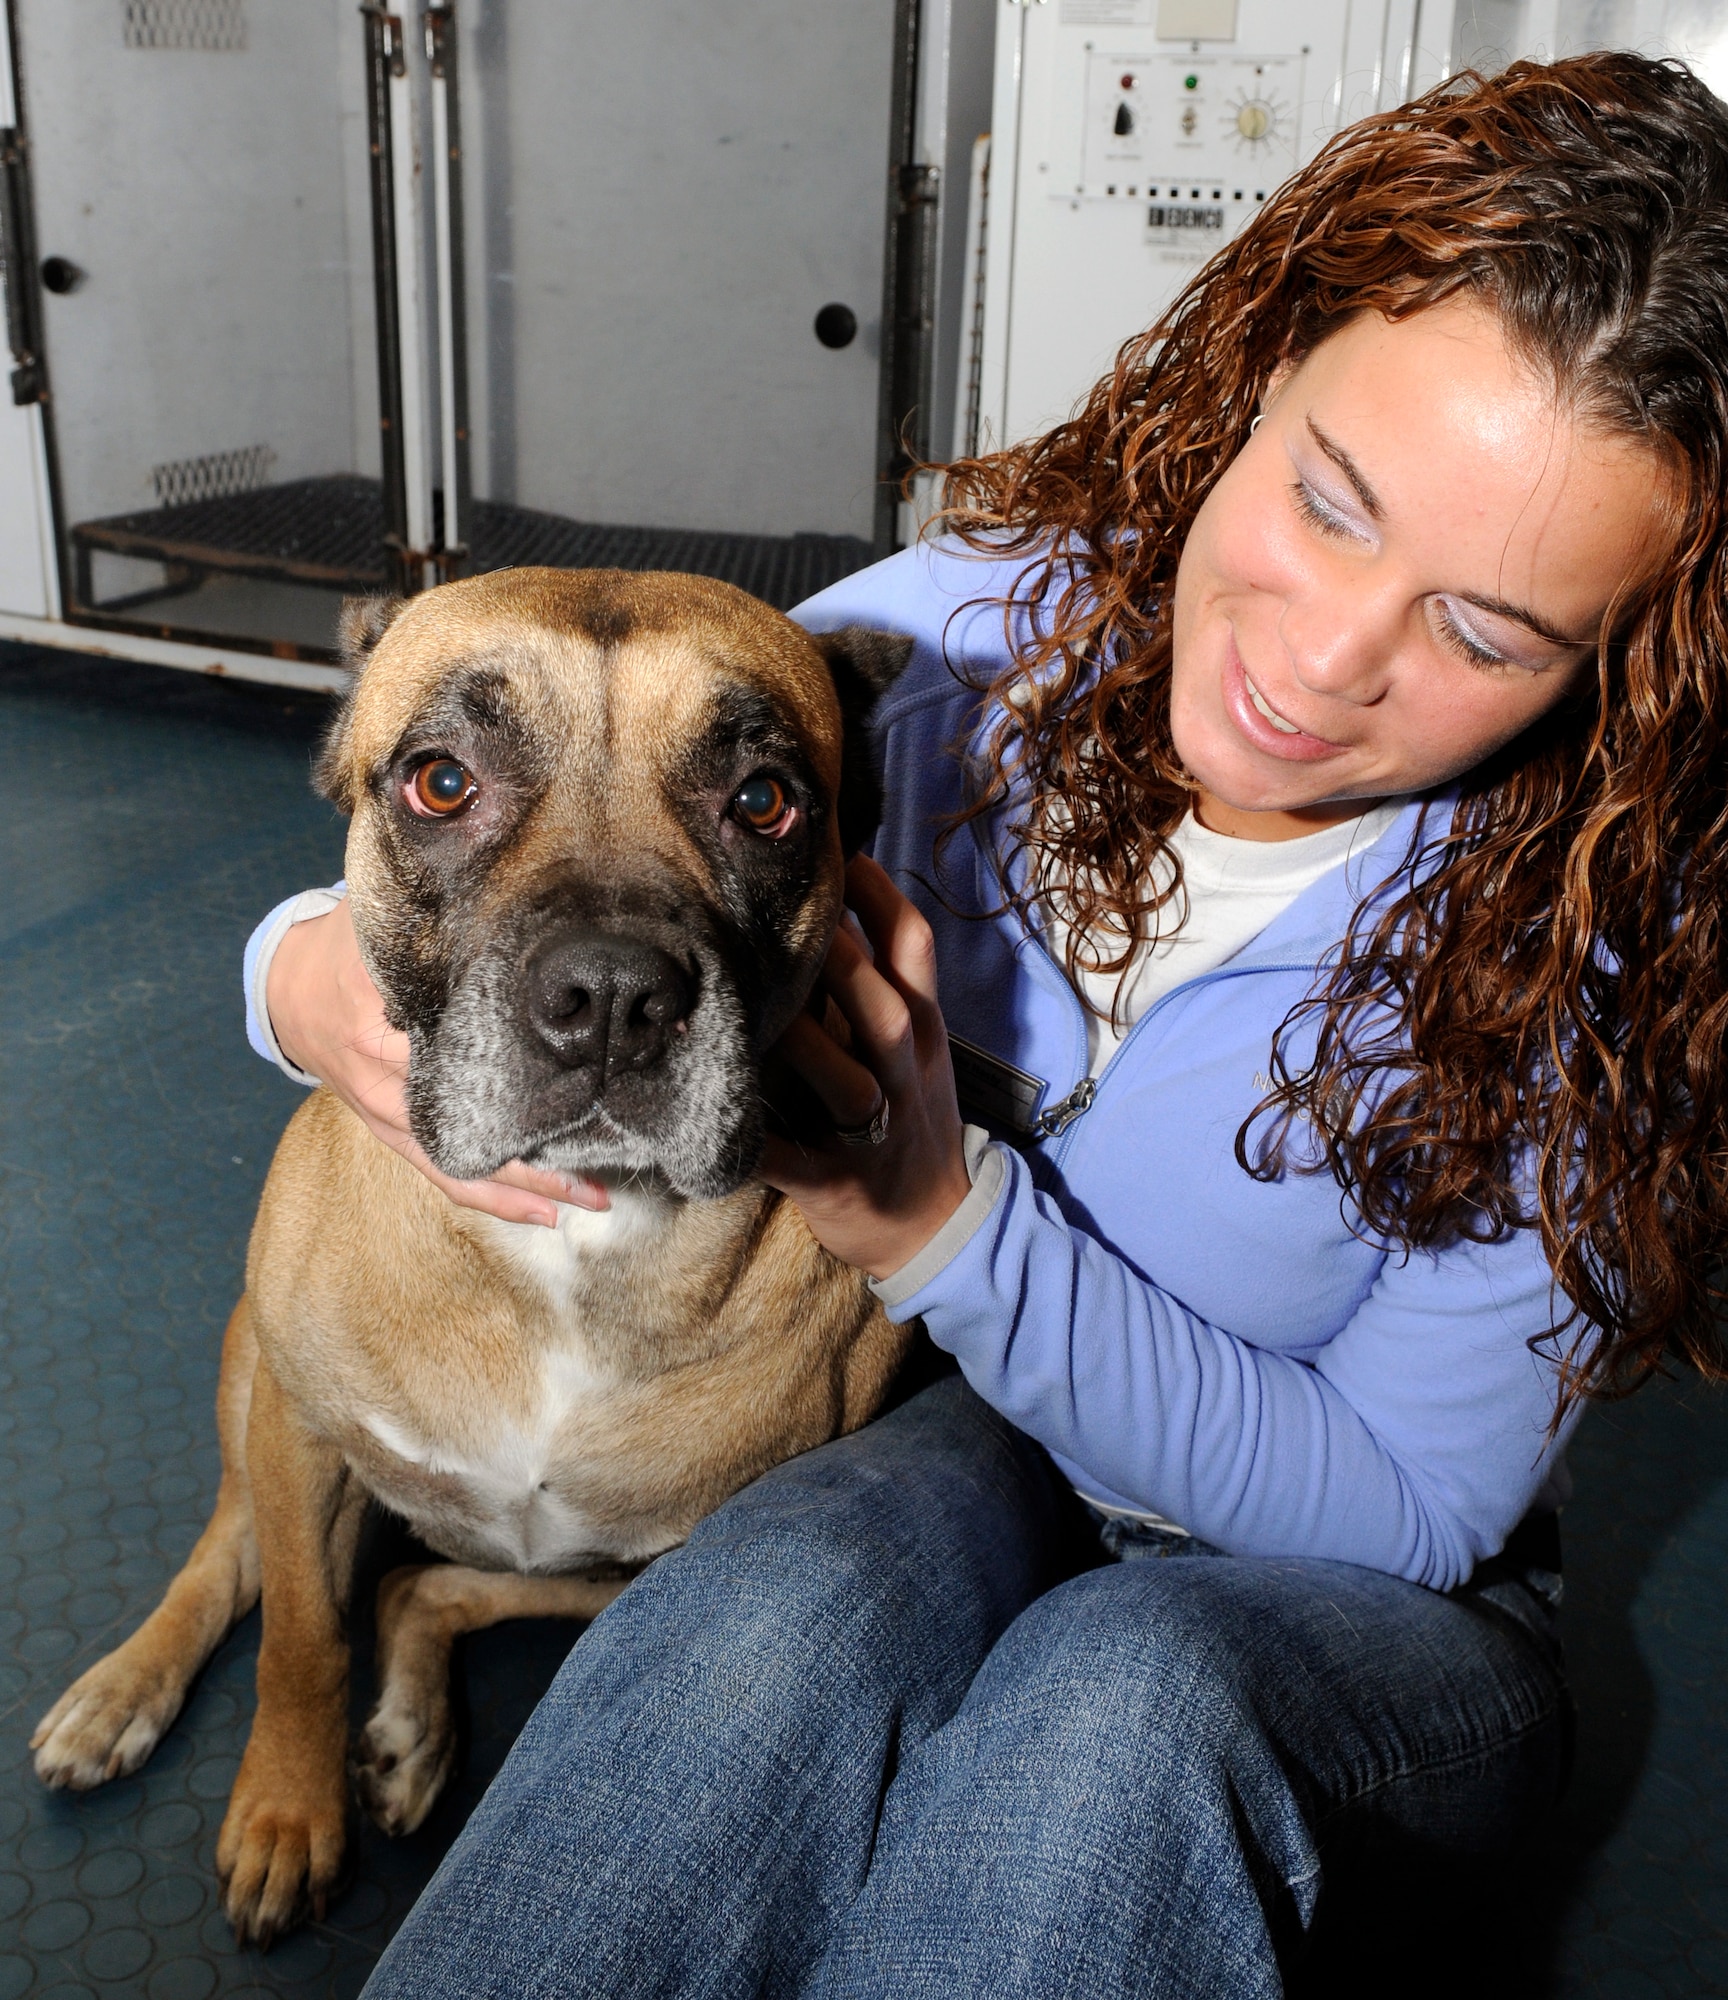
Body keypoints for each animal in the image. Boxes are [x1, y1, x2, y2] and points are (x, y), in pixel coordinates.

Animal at [30, 572, 920, 1944]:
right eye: (442, 782)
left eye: (765, 800)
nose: (613, 998)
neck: (577, 1237)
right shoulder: (304, 1433)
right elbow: (301, 1641)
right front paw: (286, 1809)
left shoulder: (674, 1555)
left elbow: (403, 1602)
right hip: (252, 1368)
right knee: (232, 1552)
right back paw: (126, 1688)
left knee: (428, 1586)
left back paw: (410, 1729)